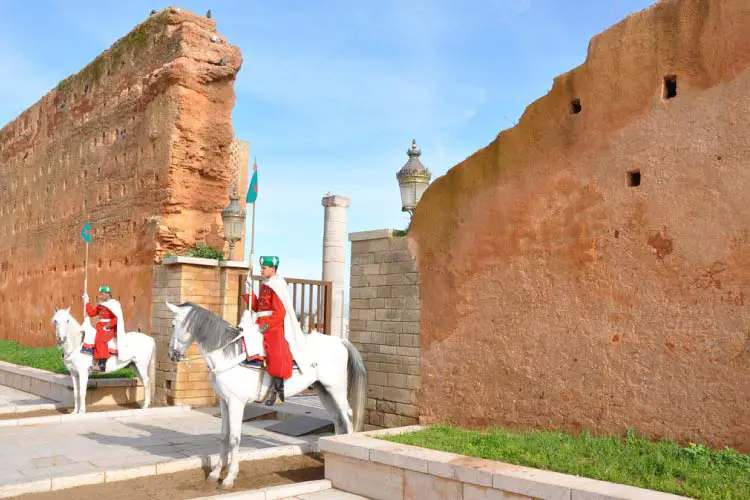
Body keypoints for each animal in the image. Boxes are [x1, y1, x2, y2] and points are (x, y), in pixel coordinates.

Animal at [166, 300, 368, 488]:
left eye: (173, 325)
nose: (171, 355)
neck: (228, 354)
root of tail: (340, 341)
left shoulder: (236, 403)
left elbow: (234, 438)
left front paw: (229, 477)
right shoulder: (224, 402)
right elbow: (224, 436)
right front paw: (215, 473)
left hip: (336, 388)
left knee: (347, 416)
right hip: (323, 390)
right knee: (337, 418)